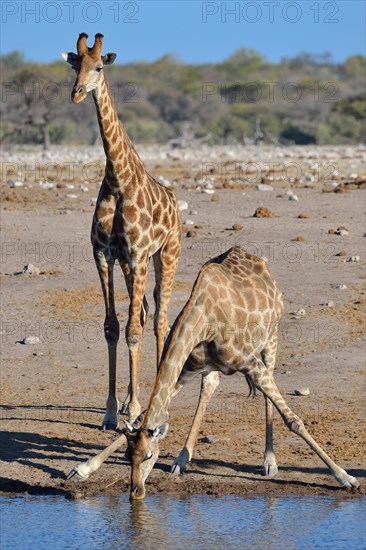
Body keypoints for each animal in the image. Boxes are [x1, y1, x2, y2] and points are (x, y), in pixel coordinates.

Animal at [63, 34, 183, 430]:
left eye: (99, 66)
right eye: (75, 64)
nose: (77, 93)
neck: (118, 178)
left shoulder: (138, 252)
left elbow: (132, 330)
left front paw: (134, 410)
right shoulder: (105, 253)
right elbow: (113, 328)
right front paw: (112, 410)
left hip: (165, 255)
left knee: (159, 318)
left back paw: (156, 397)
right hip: (135, 265)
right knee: (143, 313)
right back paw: (134, 398)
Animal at [66, 249, 358, 500]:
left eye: (149, 456)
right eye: (129, 457)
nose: (135, 491)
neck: (203, 320)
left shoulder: (251, 363)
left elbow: (294, 421)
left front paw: (345, 477)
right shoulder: (186, 369)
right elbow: (143, 417)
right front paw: (82, 468)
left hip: (270, 340)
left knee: (268, 397)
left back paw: (269, 461)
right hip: (213, 367)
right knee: (209, 389)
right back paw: (181, 459)